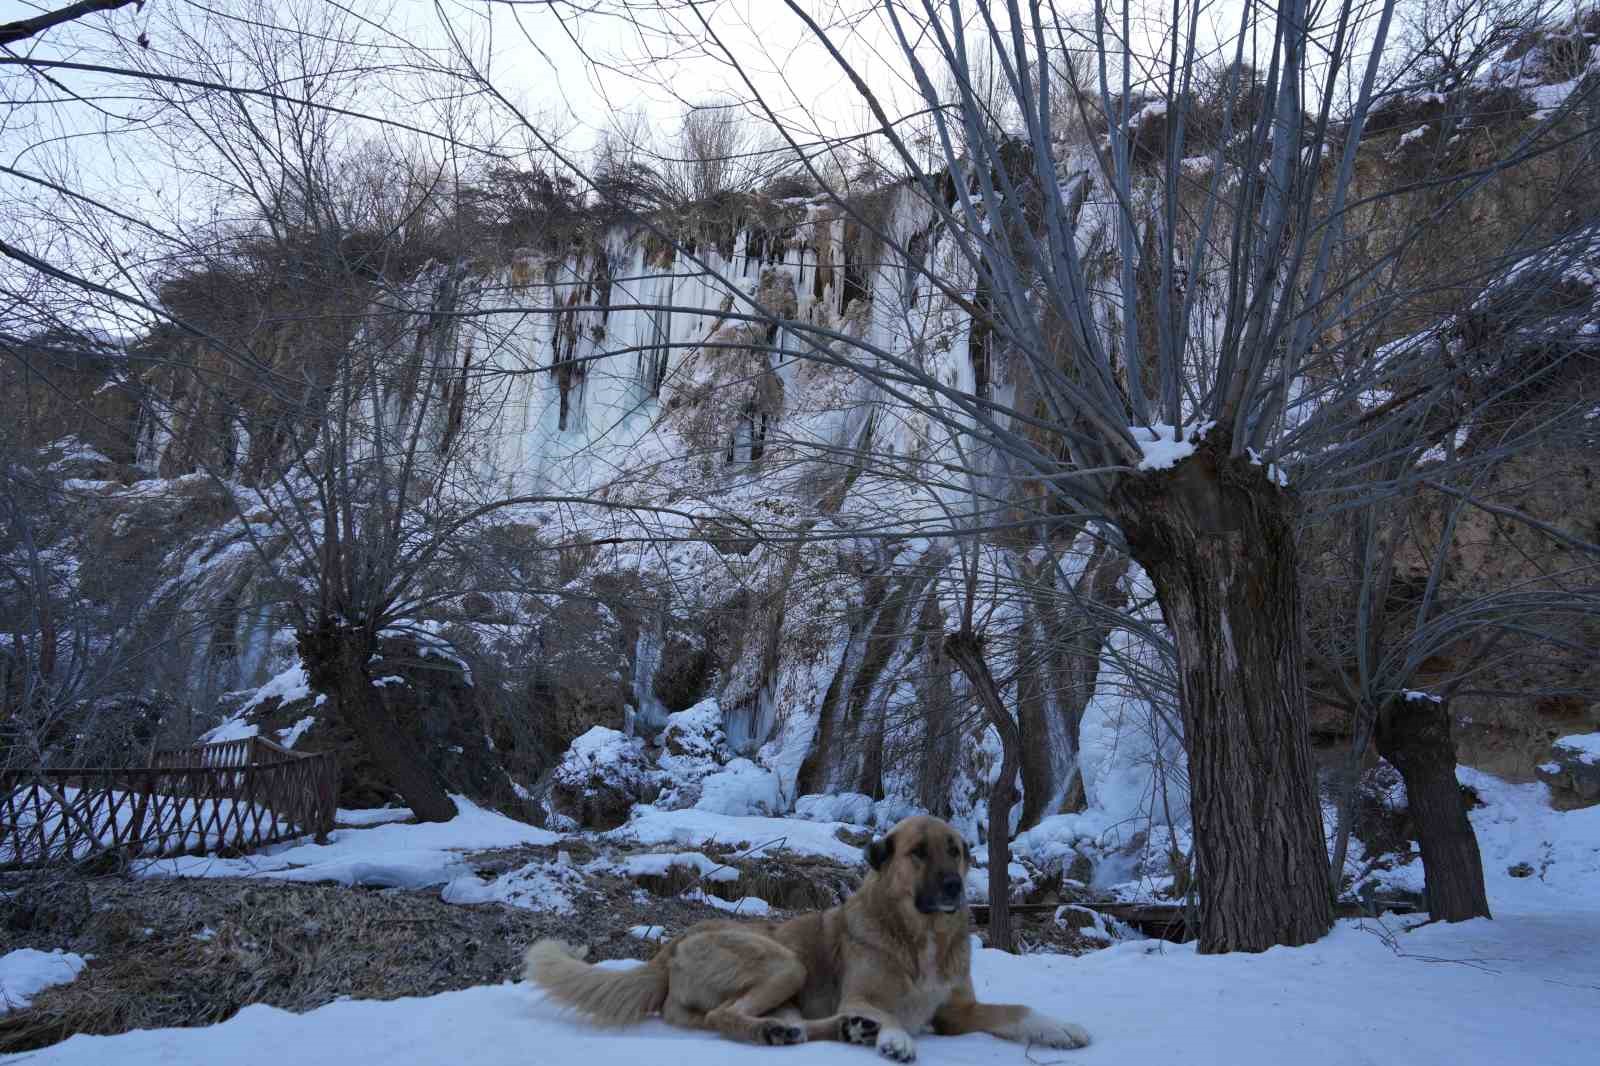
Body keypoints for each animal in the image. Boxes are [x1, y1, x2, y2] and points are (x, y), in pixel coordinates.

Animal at [524, 813, 1088, 1056]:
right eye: (918, 853)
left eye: (955, 850)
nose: (953, 886)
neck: (918, 934)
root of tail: (672, 946)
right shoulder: (866, 993)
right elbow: (889, 1014)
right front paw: (894, 1037)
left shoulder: (957, 1011)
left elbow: (1016, 1011)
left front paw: (1059, 1028)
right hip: (781, 962)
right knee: (724, 1017)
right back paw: (788, 1034)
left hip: (788, 985)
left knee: (786, 1021)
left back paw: (841, 1030)